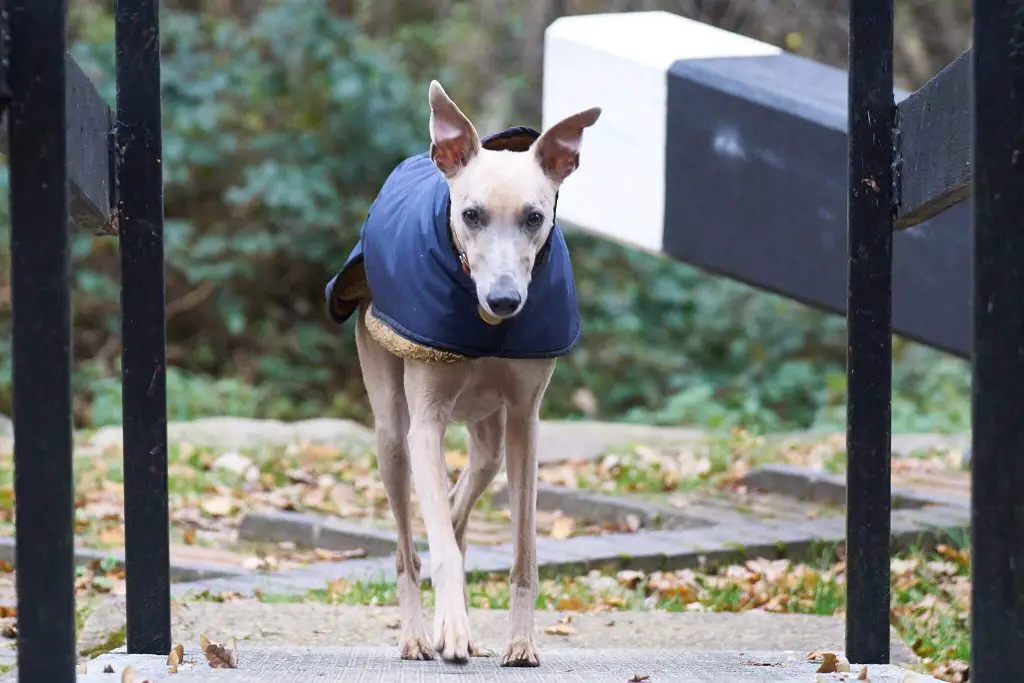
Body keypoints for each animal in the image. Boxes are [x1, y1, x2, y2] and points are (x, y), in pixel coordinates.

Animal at [325, 81, 598, 667]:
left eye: (535, 217)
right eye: (471, 215)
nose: (505, 301)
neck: (485, 329)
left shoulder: (526, 421)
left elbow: (522, 550)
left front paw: (520, 641)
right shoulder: (425, 425)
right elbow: (441, 547)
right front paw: (448, 629)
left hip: (489, 433)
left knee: (459, 502)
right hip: (390, 433)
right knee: (409, 545)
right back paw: (417, 634)